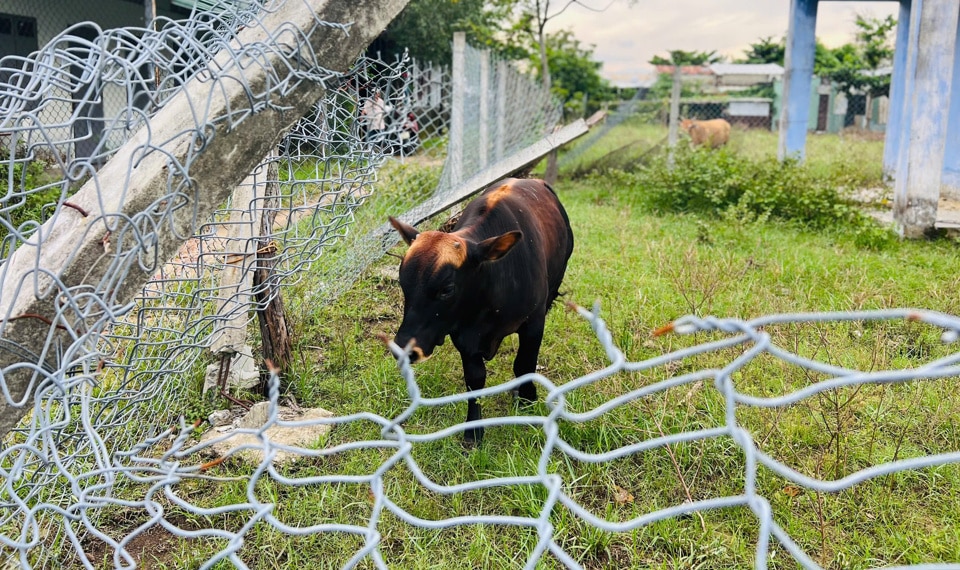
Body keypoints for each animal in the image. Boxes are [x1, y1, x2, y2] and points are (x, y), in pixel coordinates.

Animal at [388, 175, 572, 442]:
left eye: (447, 289)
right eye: (403, 282)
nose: (403, 347)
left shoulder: (534, 322)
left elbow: (524, 364)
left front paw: (527, 398)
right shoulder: (462, 334)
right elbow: (474, 380)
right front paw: (473, 430)